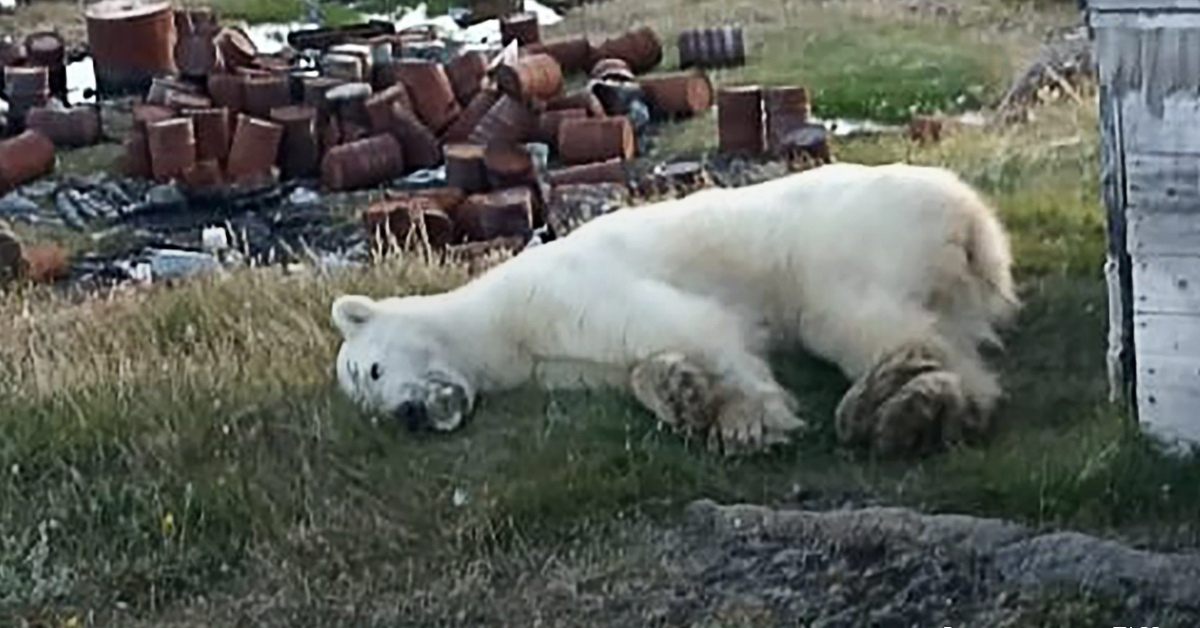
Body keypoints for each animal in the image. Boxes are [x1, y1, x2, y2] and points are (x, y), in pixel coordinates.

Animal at [331, 162, 1022, 456]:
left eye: (372, 370)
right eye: (369, 406)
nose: (409, 415)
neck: (496, 321)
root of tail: (970, 216)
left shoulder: (562, 291)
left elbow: (687, 323)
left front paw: (749, 422)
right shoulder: (557, 361)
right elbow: (634, 366)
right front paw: (681, 394)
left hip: (854, 238)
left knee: (855, 317)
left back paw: (898, 409)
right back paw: (926, 410)